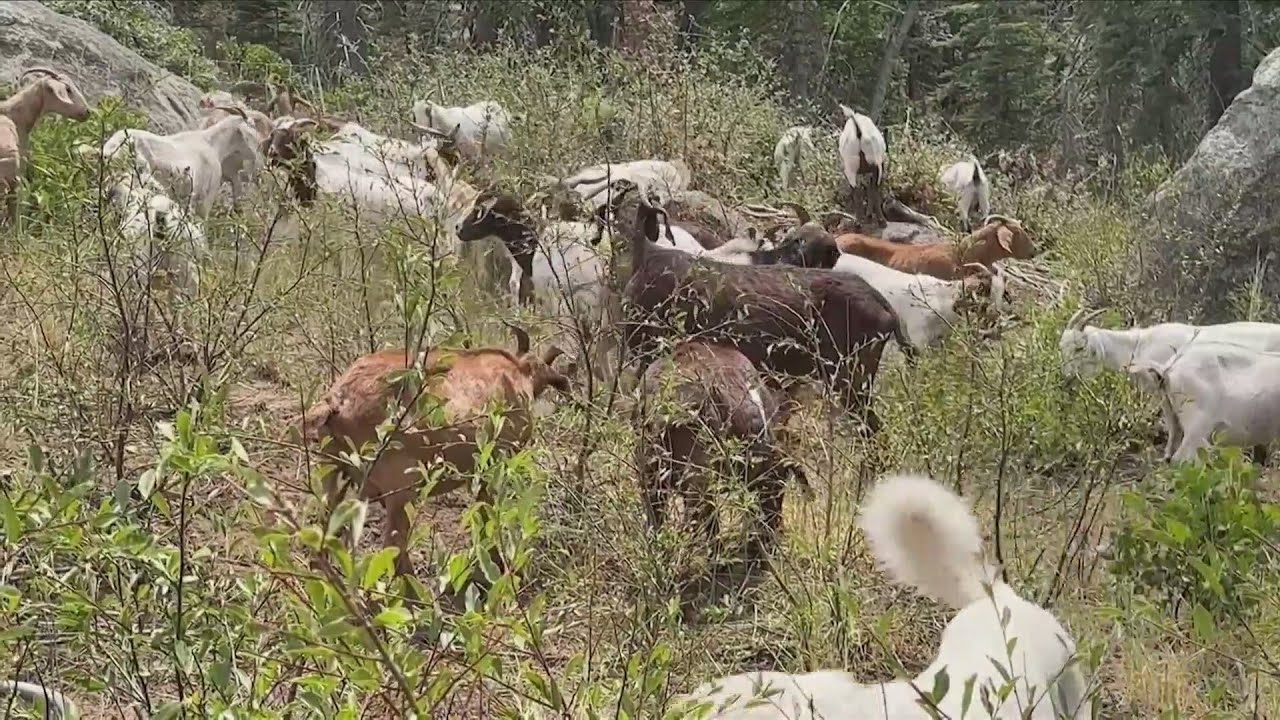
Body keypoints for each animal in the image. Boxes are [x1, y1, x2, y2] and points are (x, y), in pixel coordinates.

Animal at [299, 325, 570, 576]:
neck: (516, 373)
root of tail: (338, 399)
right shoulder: (495, 466)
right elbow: (487, 515)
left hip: (332, 473)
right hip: (402, 489)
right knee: (393, 547)